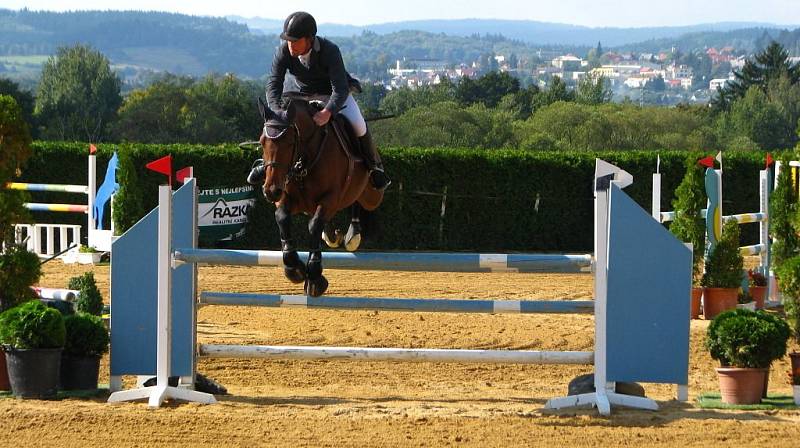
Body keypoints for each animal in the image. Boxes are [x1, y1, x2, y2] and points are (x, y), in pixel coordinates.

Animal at [256, 96, 382, 296]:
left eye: (290, 142)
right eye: (261, 142)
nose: (271, 191)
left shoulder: (330, 198)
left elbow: (314, 225)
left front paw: (315, 276)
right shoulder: (286, 197)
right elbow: (282, 218)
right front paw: (294, 269)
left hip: (373, 195)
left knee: (359, 201)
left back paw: (353, 234)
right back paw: (332, 235)